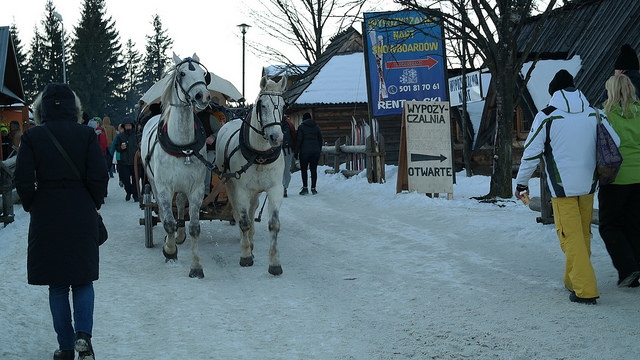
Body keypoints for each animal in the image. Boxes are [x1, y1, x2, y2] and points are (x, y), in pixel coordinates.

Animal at [140, 53, 210, 278]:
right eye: (182, 74)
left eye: (203, 74)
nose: (202, 96)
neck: (183, 147)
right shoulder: (163, 187)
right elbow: (168, 222)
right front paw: (169, 251)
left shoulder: (196, 188)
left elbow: (194, 227)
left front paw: (196, 266)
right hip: (153, 182)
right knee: (164, 212)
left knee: (179, 203)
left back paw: (179, 234)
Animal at [216, 75, 286, 272]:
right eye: (262, 105)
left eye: (283, 105)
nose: (276, 137)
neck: (259, 156)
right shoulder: (241, 190)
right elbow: (244, 221)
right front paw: (246, 255)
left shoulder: (275, 189)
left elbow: (274, 224)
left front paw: (275, 263)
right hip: (230, 185)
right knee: (238, 214)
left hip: (255, 192)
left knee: (252, 209)